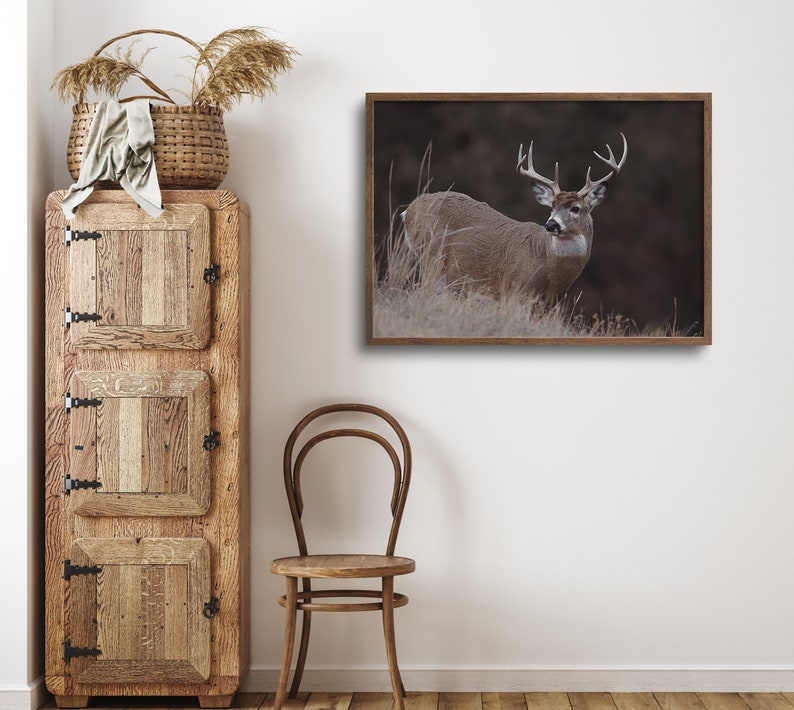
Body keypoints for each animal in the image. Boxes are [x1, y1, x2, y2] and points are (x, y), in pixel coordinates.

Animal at [401, 133, 627, 301]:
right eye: (552, 207)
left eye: (576, 208)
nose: (551, 224)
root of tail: (409, 210)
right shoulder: (515, 290)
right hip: (431, 257)